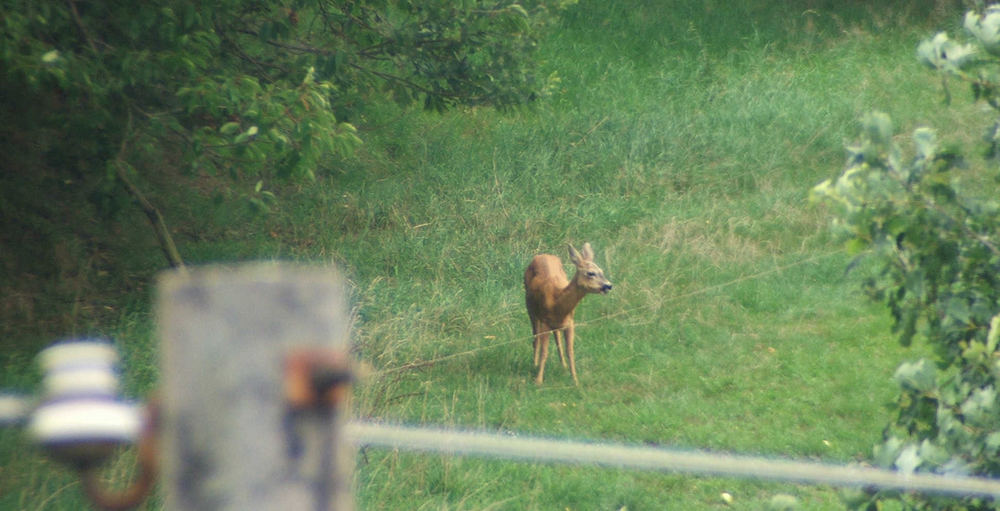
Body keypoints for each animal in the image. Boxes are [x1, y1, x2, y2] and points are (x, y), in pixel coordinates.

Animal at [524, 243, 608, 384]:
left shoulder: (570, 323)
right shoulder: (545, 321)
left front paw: (575, 380)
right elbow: (544, 352)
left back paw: (562, 365)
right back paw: (534, 364)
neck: (557, 303)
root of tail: (543, 255)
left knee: (556, 337)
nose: (608, 285)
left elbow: (570, 351)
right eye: (590, 273)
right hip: (530, 308)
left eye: (602, 271)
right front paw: (538, 381)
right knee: (536, 337)